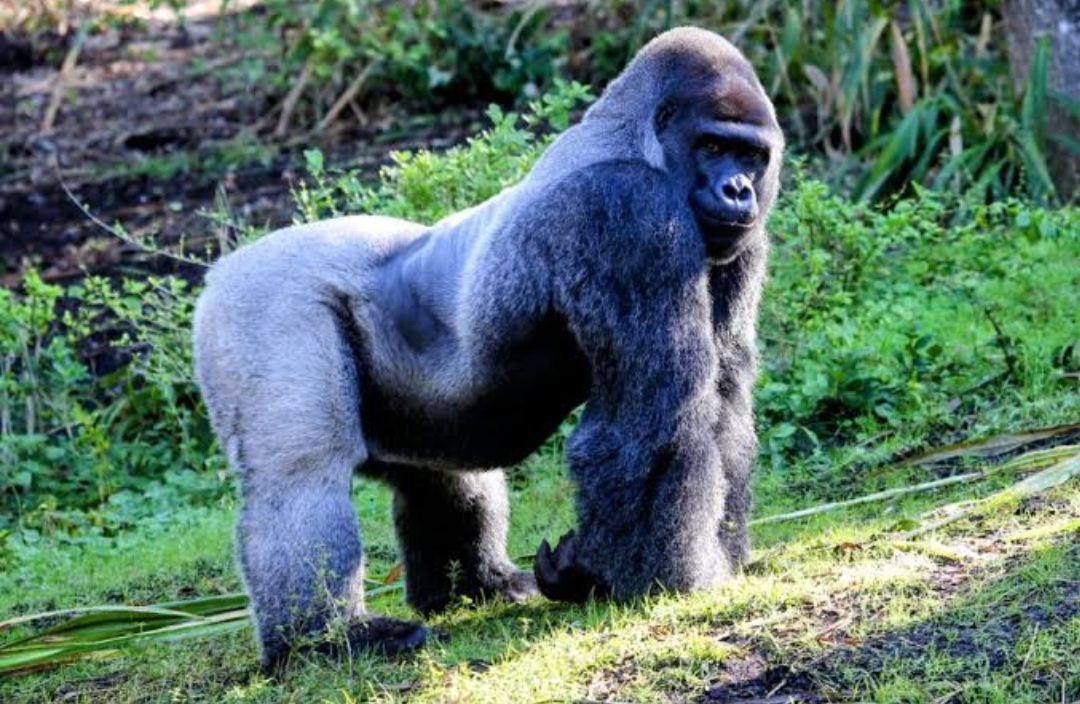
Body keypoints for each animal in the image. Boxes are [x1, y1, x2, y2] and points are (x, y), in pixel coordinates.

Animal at [192, 26, 783, 670]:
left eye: (751, 156)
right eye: (712, 145)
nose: (738, 190)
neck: (640, 140)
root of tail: (221, 269)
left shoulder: (737, 240)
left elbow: (722, 397)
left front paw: (711, 557)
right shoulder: (629, 211)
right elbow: (657, 419)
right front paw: (658, 582)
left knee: (442, 475)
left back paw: (476, 587)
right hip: (259, 304)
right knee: (301, 478)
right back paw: (321, 641)